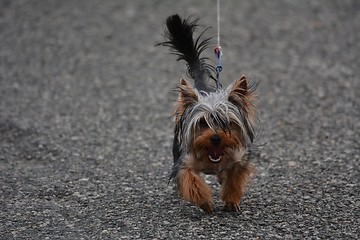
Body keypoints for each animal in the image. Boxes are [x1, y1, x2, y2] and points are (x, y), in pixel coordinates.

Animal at [158, 14, 258, 214]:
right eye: (202, 123)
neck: (213, 157)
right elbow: (190, 180)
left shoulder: (240, 157)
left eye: (228, 122)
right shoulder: (184, 162)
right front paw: (204, 201)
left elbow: (235, 177)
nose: (216, 138)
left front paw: (231, 201)